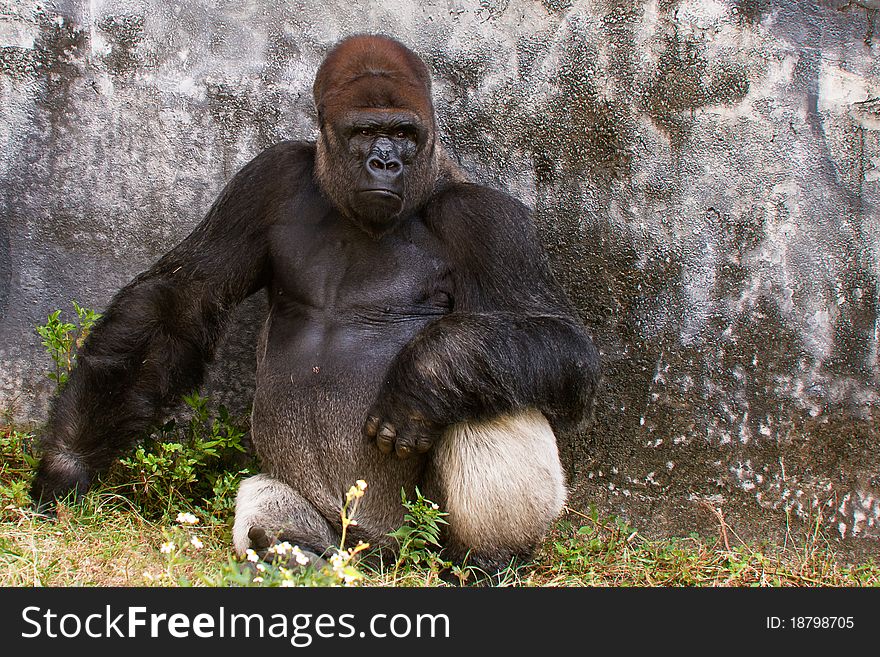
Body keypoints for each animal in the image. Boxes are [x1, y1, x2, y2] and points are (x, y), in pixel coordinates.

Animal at [31, 33, 600, 572]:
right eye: (365, 132)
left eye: (405, 134)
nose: (386, 162)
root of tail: (378, 555)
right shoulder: (268, 177)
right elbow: (181, 302)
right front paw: (68, 462)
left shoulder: (487, 220)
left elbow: (564, 346)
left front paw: (428, 374)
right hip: (343, 533)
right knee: (269, 498)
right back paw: (296, 550)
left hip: (421, 541)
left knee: (490, 396)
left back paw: (489, 559)